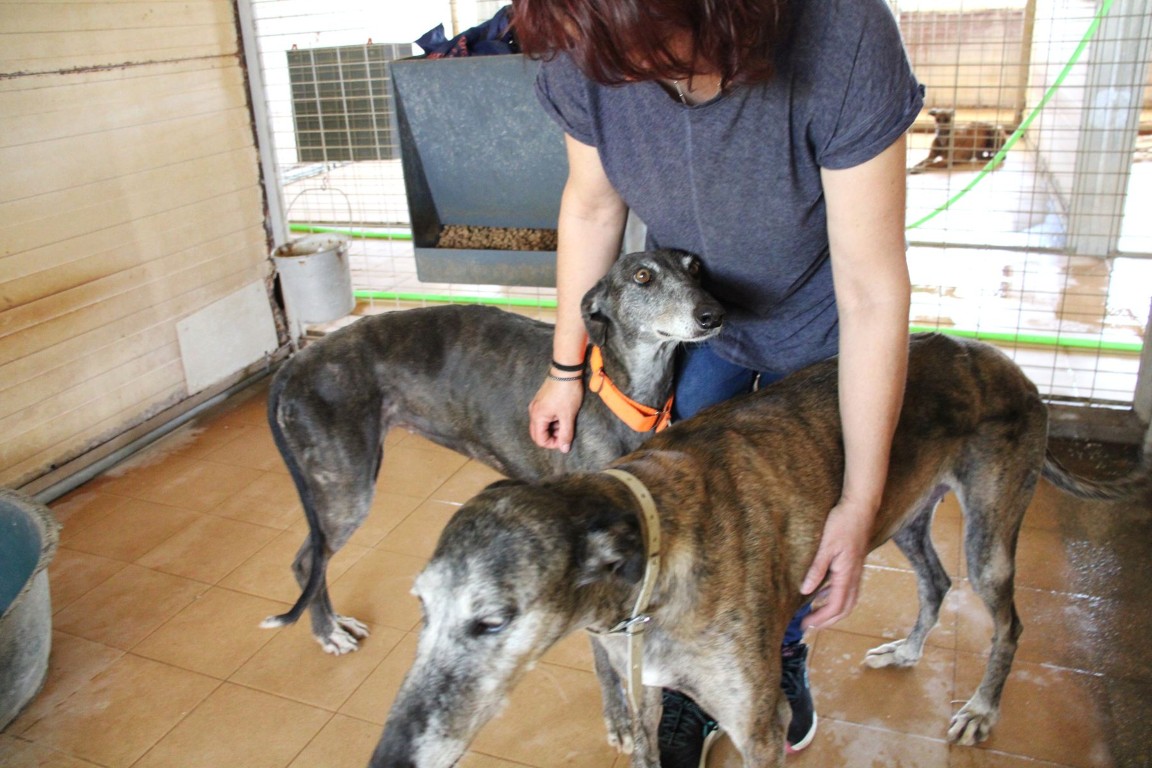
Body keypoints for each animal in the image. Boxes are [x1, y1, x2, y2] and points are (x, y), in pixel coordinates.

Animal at [261, 249, 725, 654]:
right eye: (642, 276)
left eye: (695, 268)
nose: (713, 315)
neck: (618, 390)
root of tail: (297, 363)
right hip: (345, 488)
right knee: (308, 561)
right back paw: (329, 633)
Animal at [372, 332, 1146, 767]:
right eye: (421, 607)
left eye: (492, 621)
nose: (384, 760)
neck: (653, 548)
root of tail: (1012, 368)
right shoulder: (645, 702)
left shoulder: (759, 727)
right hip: (900, 513)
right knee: (935, 582)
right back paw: (907, 651)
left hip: (990, 533)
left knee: (1008, 623)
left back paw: (981, 709)